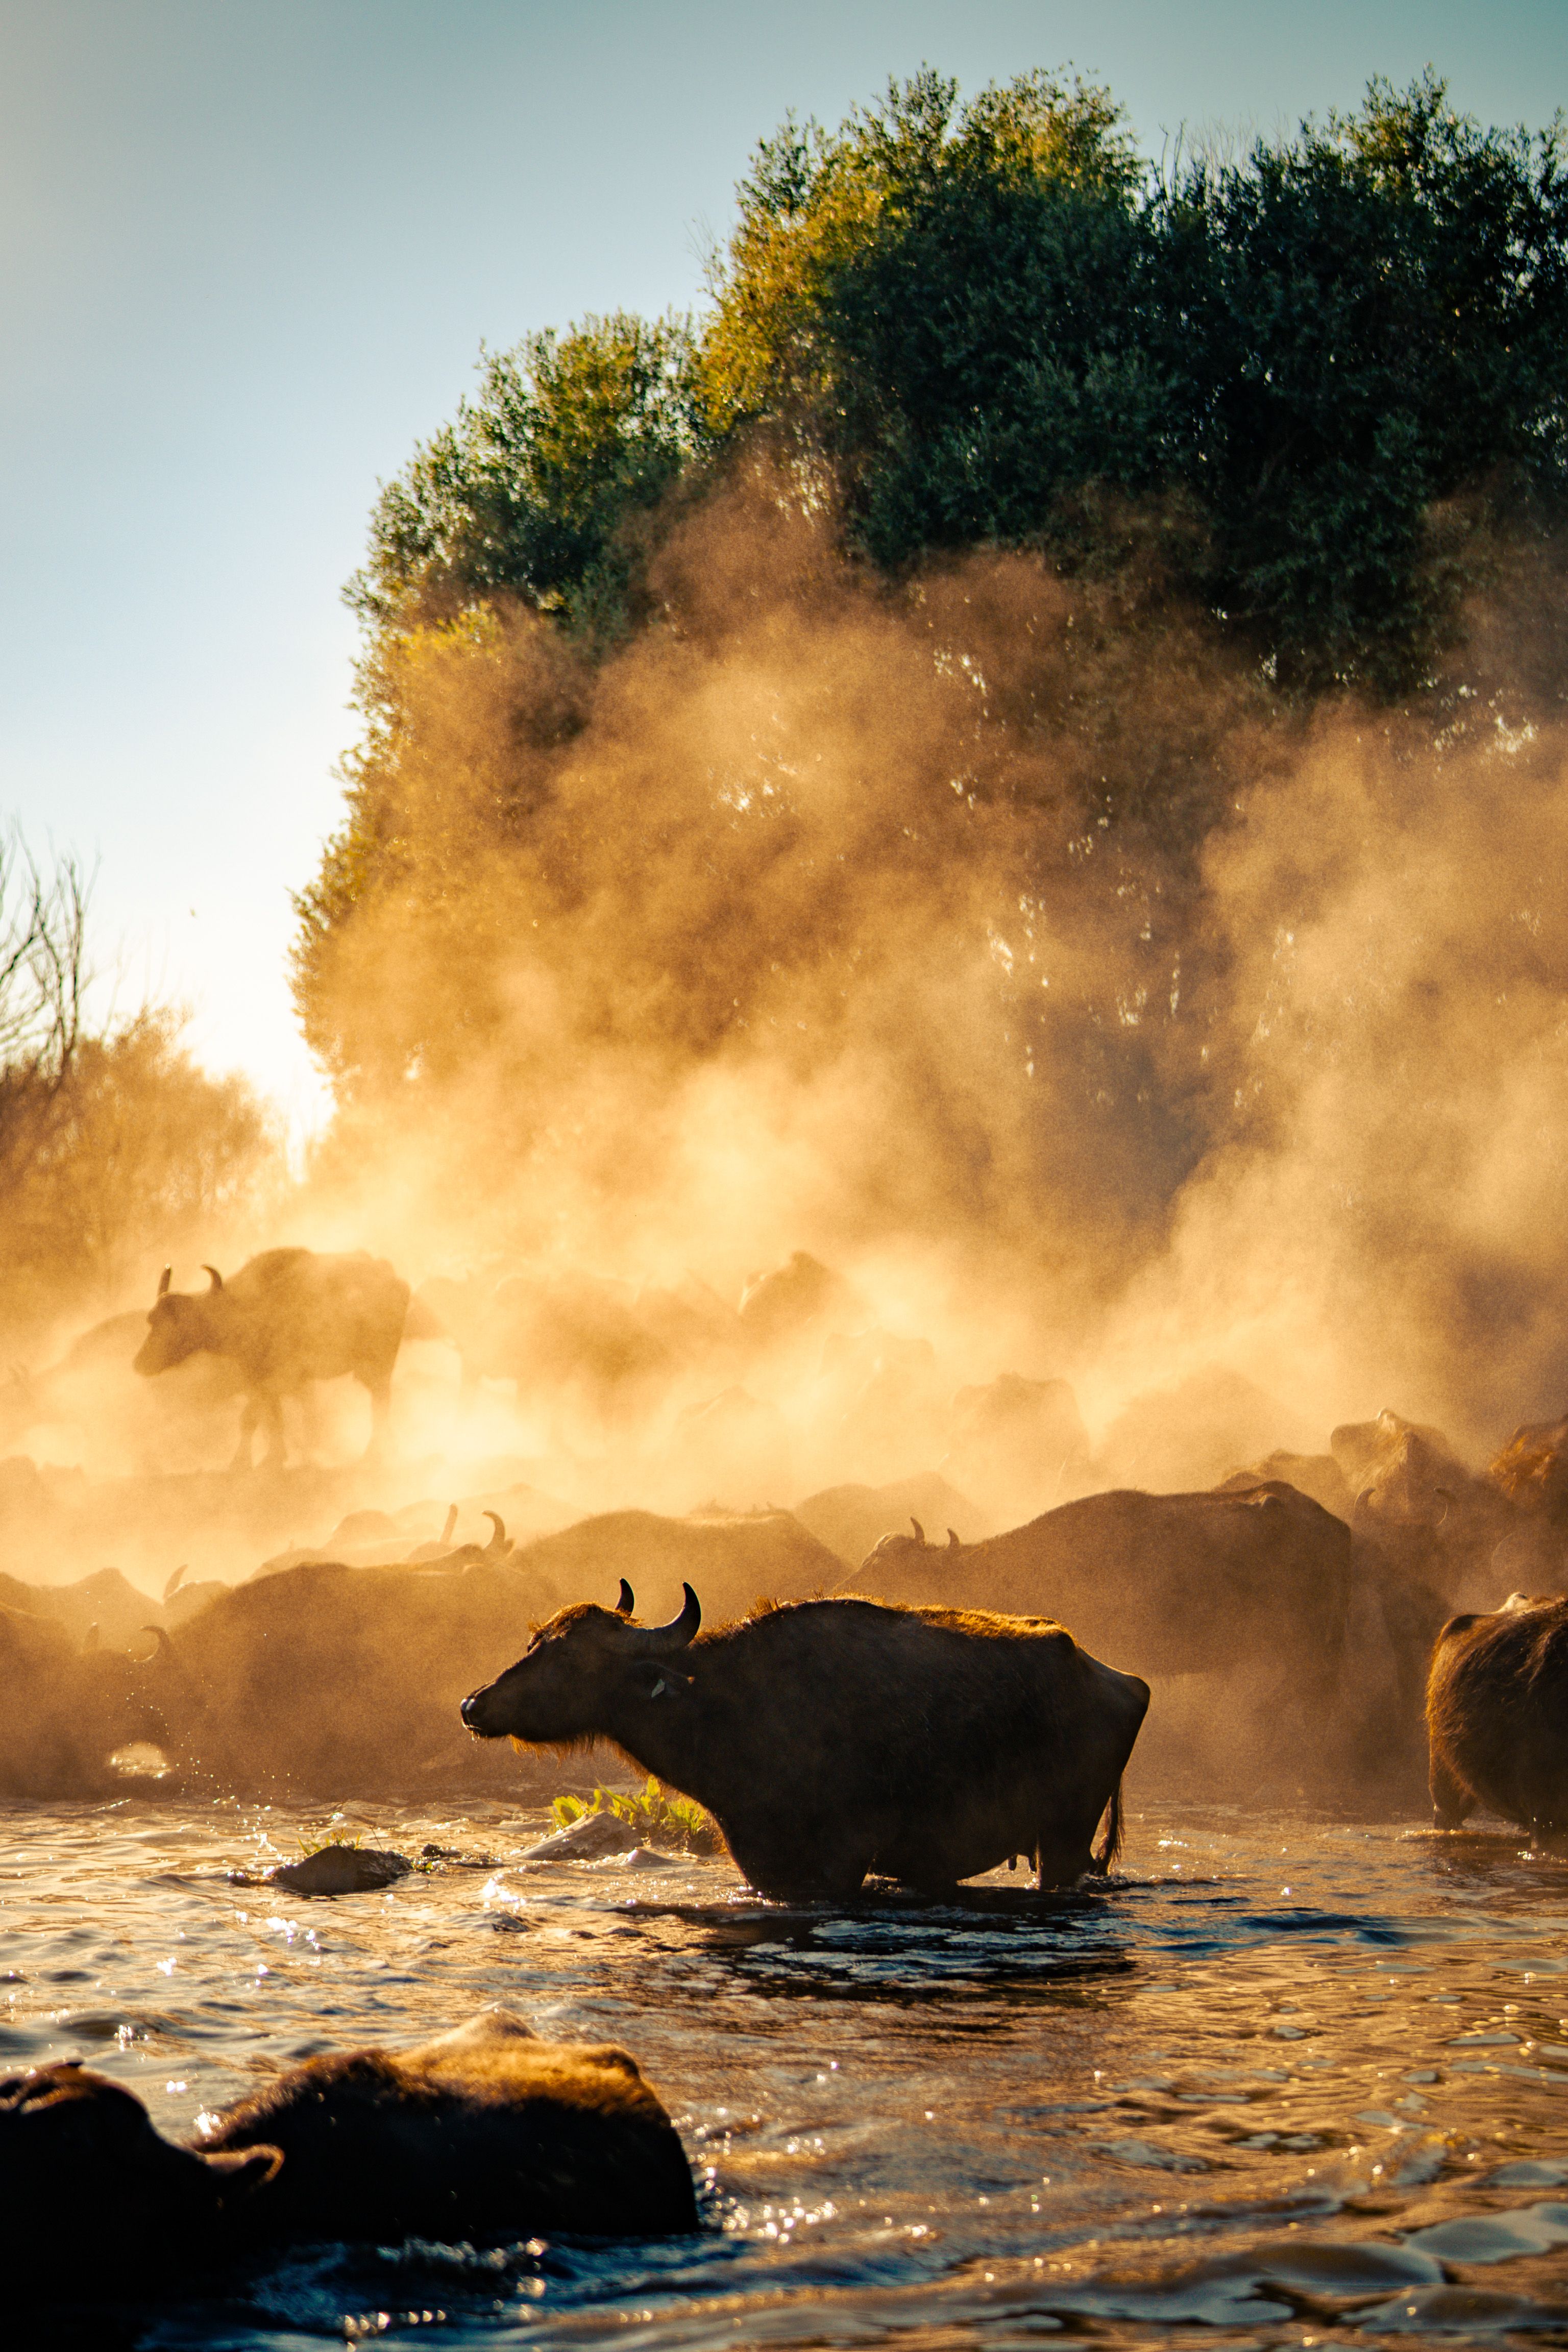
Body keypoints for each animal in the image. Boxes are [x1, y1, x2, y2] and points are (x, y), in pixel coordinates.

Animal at [134, 1248, 411, 1468]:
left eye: (181, 1324)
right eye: (152, 1320)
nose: (140, 1364)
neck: (245, 1312)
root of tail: (394, 1280)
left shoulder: (274, 1379)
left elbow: (251, 1418)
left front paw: (242, 1462)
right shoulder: (258, 1380)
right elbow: (272, 1419)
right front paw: (274, 1458)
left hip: (380, 1362)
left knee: (380, 1401)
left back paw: (375, 1452)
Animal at [462, 1583, 1149, 1897]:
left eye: (569, 1657)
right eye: (536, 1641)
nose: (474, 1704)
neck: (729, 1706)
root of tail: (1117, 1680)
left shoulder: (842, 1859)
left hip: (1063, 1842)